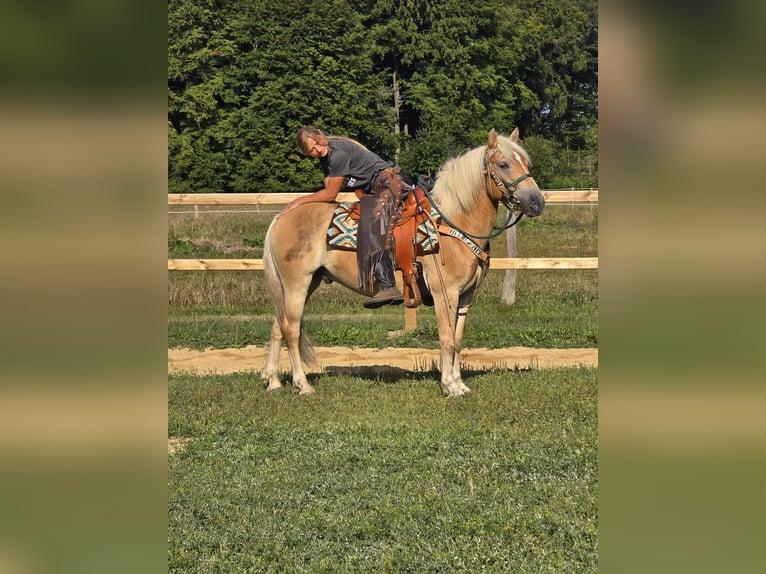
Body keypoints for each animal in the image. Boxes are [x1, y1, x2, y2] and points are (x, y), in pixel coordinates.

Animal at [262, 128, 544, 398]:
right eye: (504, 164)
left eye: (525, 162)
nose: (537, 202)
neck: (453, 222)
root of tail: (280, 217)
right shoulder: (445, 294)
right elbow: (446, 339)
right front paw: (450, 387)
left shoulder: (466, 296)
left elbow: (458, 339)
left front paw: (460, 384)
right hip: (297, 283)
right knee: (291, 329)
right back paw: (303, 385)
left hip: (304, 283)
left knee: (278, 325)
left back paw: (273, 381)